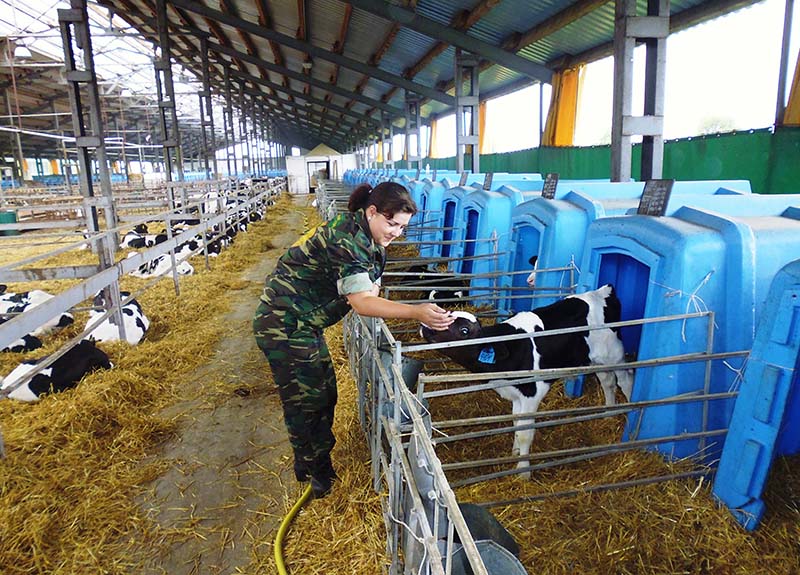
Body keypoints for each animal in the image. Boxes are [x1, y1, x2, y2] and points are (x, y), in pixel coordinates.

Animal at [422, 286, 636, 480]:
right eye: (447, 312)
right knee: (608, 381)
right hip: (595, 360)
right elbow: (516, 423)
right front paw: (515, 452)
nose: (426, 326)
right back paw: (608, 414)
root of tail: (603, 291)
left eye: (464, 330)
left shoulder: (532, 392)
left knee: (626, 380)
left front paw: (523, 471)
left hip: (614, 355)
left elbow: (525, 432)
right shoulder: (516, 393)